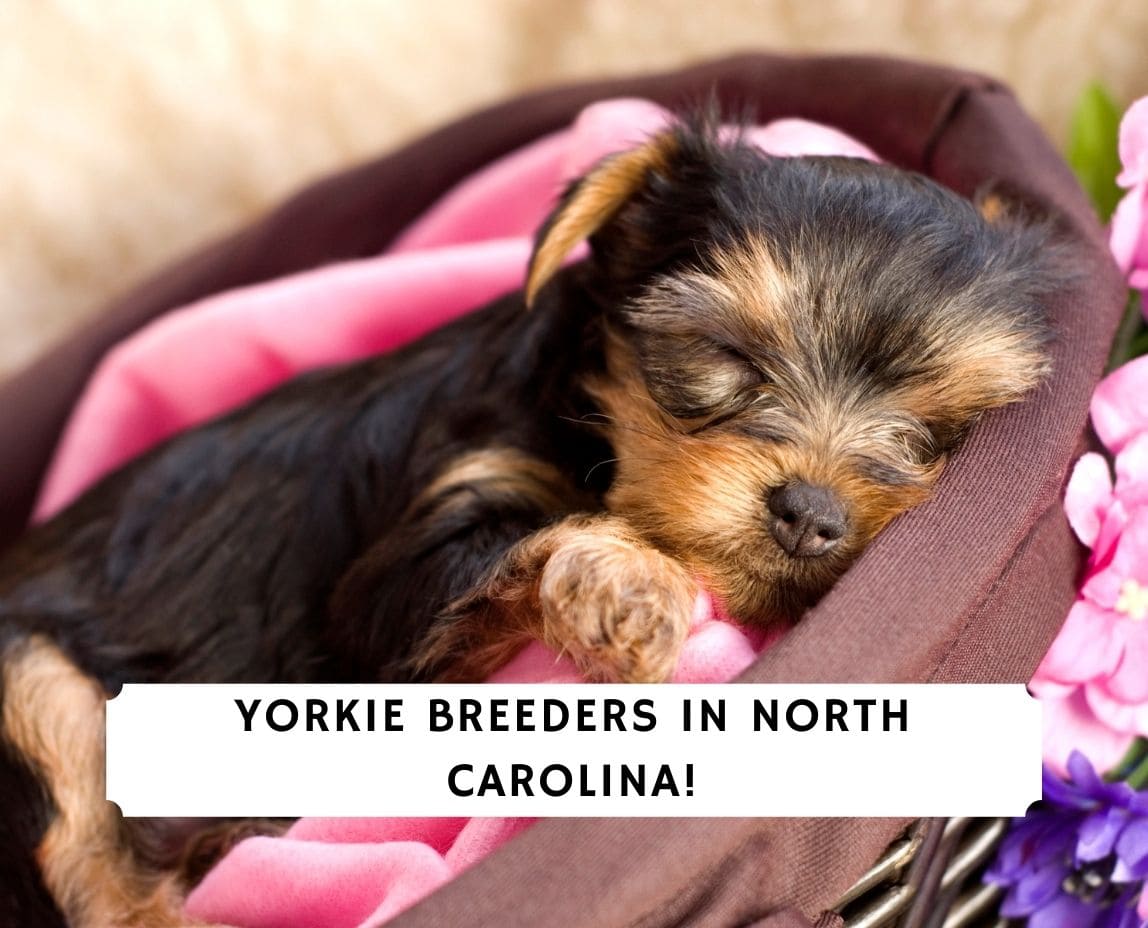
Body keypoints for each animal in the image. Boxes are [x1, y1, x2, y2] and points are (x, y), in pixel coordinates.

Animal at [0, 114, 1056, 918]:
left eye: (935, 429)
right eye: (726, 354)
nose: (812, 513)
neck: (592, 435)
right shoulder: (404, 572)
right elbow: (526, 548)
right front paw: (634, 581)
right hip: (32, 683)